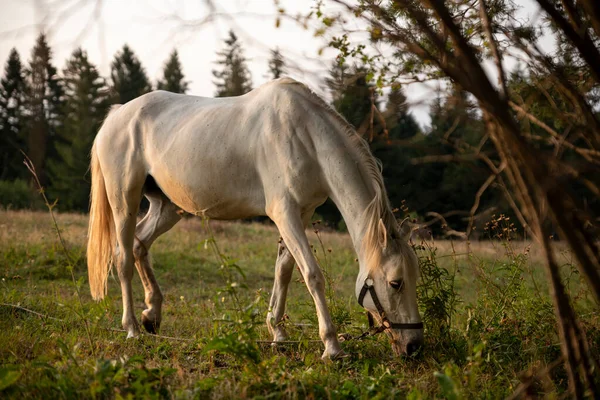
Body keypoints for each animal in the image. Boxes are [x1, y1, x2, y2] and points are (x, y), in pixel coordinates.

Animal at [86, 76, 424, 358]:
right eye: (395, 283)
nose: (414, 346)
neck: (305, 135)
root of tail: (116, 115)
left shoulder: (300, 214)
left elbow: (284, 271)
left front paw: (278, 334)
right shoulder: (284, 213)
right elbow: (312, 275)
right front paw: (332, 347)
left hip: (167, 208)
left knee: (140, 244)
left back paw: (151, 316)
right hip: (124, 202)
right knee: (122, 257)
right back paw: (131, 328)